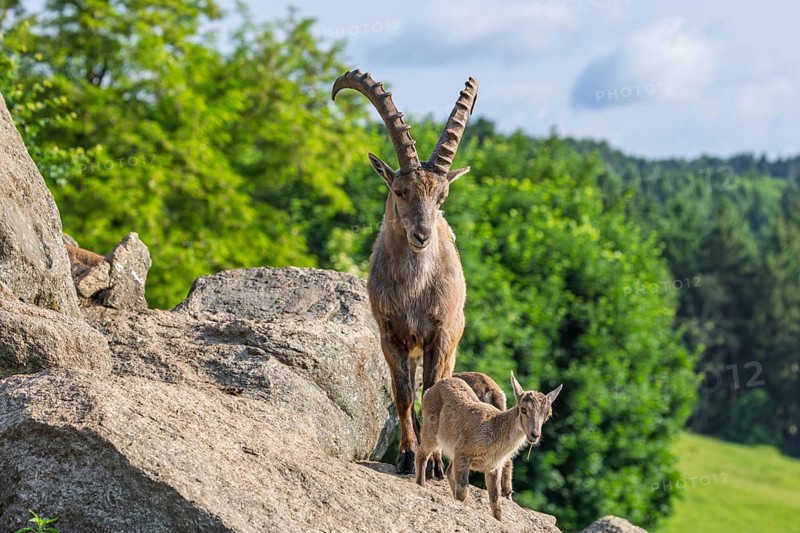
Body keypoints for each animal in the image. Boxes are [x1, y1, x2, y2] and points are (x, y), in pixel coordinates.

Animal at [332, 70, 478, 476]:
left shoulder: (440, 336)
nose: (422, 235)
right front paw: (408, 455)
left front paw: (433, 464)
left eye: (441, 197)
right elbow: (403, 395)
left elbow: (432, 393)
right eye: (400, 191)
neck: (414, 290)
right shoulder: (391, 336)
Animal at [415, 373, 562, 521]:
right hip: (430, 429)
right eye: (524, 409)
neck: (495, 430)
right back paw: (421, 485)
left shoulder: (493, 467)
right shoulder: (463, 455)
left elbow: (496, 501)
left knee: (448, 471)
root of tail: (430, 390)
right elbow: (463, 490)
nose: (535, 435)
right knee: (422, 453)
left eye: (548, 415)